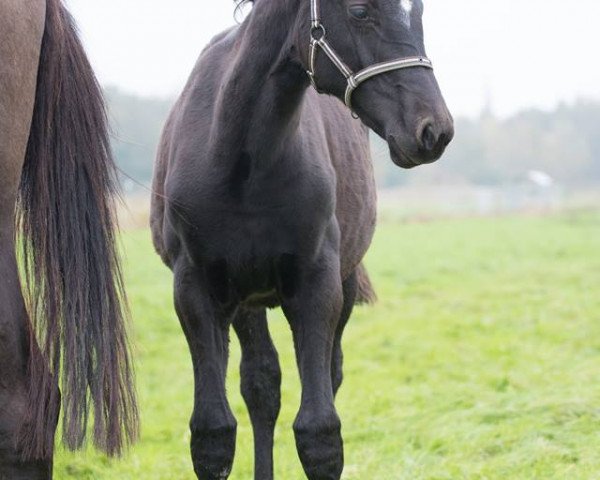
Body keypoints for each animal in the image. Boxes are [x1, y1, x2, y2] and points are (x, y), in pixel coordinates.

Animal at [152, 0, 452, 478]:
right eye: (359, 11)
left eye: (418, 10)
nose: (433, 130)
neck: (242, 160)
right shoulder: (195, 289)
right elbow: (213, 434)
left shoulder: (318, 285)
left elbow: (319, 433)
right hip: (247, 300)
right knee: (261, 385)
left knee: (327, 373)